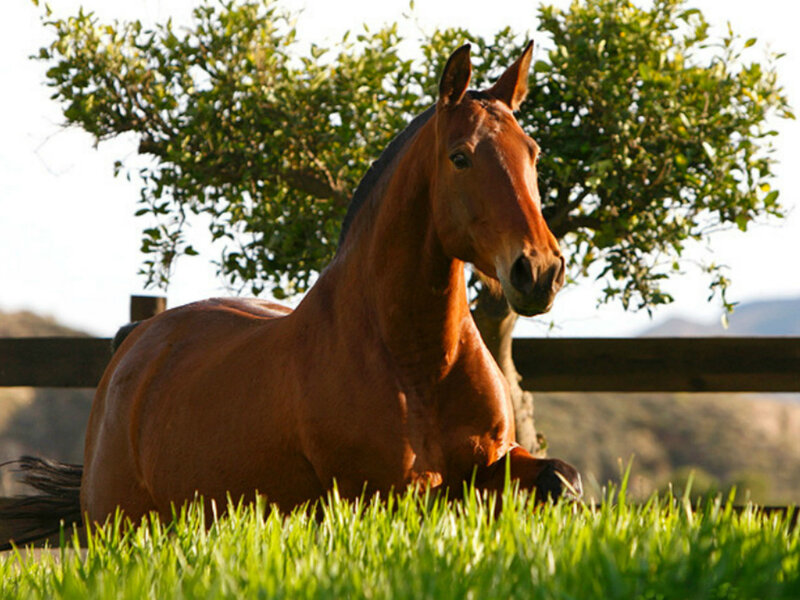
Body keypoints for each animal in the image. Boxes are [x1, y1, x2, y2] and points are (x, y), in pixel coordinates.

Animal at [0, 42, 580, 548]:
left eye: (532, 152)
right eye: (461, 157)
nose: (539, 270)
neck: (416, 363)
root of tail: (136, 341)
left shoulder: (490, 461)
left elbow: (563, 479)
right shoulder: (386, 493)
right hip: (122, 527)